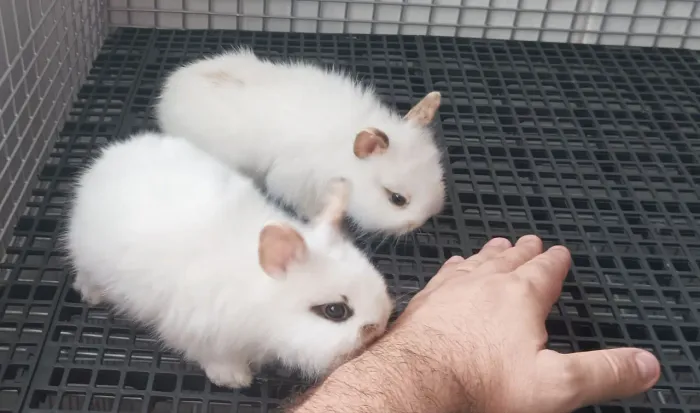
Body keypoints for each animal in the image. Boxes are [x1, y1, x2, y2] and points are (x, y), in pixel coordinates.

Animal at [63, 131, 394, 389]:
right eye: (335, 311)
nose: (379, 325)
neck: (260, 299)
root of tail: (108, 159)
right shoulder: (199, 334)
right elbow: (215, 359)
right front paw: (234, 379)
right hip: (88, 257)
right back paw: (92, 294)